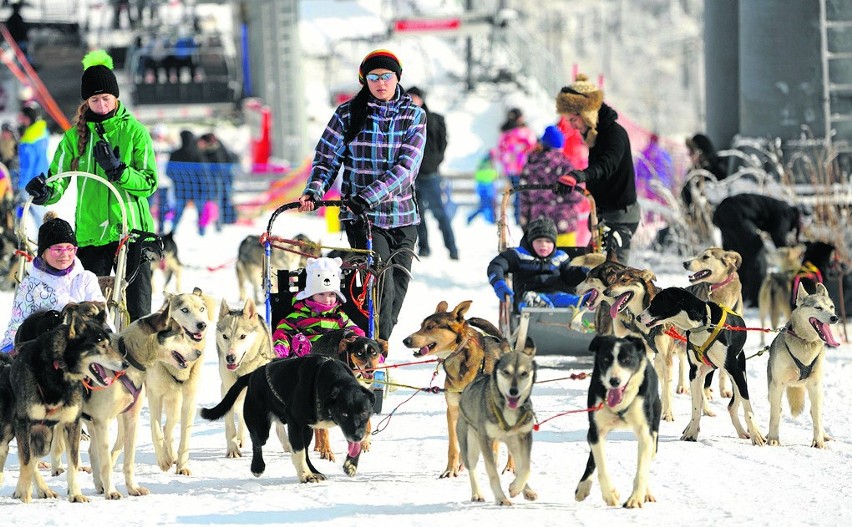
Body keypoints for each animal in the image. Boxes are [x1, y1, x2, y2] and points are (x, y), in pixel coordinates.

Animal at [402, 302, 506, 478]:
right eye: (421, 325)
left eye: (430, 327)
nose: (406, 340)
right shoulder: (452, 411)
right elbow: (453, 445)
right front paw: (451, 469)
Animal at [456, 344, 536, 506]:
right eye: (506, 372)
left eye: (524, 373)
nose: (513, 391)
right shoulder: (485, 439)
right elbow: (492, 473)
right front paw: (501, 498)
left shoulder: (525, 436)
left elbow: (526, 468)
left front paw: (515, 488)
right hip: (470, 444)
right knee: (472, 467)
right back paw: (477, 494)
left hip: (514, 444)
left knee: (519, 464)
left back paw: (526, 490)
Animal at [576, 336, 664, 510]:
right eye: (605, 359)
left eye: (626, 360)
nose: (614, 381)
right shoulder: (596, 431)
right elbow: (601, 465)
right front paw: (610, 495)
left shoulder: (646, 433)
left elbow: (642, 470)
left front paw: (635, 498)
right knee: (592, 459)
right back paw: (583, 486)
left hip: (655, 431)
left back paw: (646, 492)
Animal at [636, 288, 768, 446]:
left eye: (655, 302)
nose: (638, 317)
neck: (702, 326)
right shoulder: (694, 373)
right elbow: (695, 407)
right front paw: (691, 433)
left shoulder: (734, 370)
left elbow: (748, 409)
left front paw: (756, 435)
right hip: (704, 373)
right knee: (707, 402)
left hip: (739, 373)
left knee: (733, 404)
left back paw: (742, 431)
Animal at [764, 284, 840, 450]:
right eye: (818, 307)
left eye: (831, 307)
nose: (834, 318)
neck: (805, 342)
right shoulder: (777, 385)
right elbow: (774, 415)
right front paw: (773, 439)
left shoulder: (815, 385)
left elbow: (817, 417)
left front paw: (818, 441)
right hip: (772, 389)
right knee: (777, 409)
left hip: (817, 391)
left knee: (815, 412)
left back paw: (824, 435)